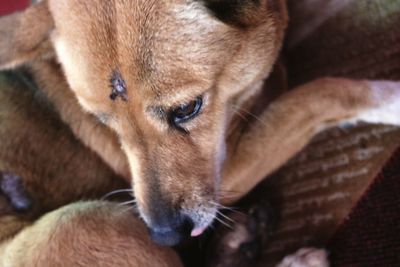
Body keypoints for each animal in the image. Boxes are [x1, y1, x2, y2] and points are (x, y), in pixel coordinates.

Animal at [0, 0, 400, 266]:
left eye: (186, 109)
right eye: (101, 122)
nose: (165, 237)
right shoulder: (230, 174)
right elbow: (314, 96)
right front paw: (388, 99)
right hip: (85, 221)